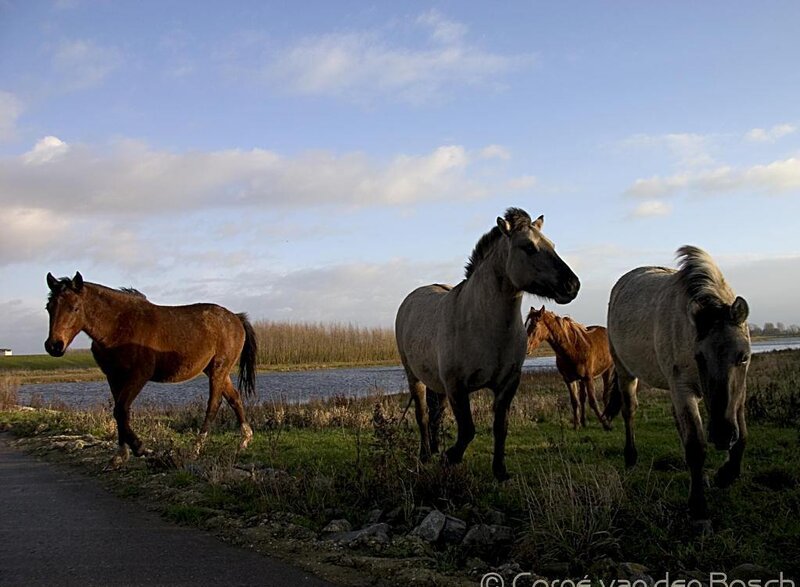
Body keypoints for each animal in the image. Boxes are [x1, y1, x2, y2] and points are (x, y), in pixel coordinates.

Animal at [44, 272, 258, 467]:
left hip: (218, 369)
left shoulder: (138, 375)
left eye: (75, 308)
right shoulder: (114, 377)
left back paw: (197, 448)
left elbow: (121, 410)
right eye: (49, 308)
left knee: (214, 404)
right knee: (234, 398)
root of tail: (236, 318)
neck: (119, 326)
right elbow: (120, 411)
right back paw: (244, 440)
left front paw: (139, 448)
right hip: (216, 371)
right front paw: (120, 456)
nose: (54, 345)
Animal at [395, 208, 580, 481]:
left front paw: (500, 471)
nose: (572, 285)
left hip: (437, 385)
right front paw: (450, 457)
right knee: (422, 416)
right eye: (528, 247)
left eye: (552, 245)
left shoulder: (507, 384)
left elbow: (500, 427)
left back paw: (436, 449)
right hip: (414, 377)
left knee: (435, 415)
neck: (485, 326)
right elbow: (468, 430)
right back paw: (427, 455)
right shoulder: (457, 387)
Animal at [602, 246, 751, 520]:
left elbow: (742, 435)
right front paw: (698, 507)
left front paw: (726, 474)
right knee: (629, 411)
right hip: (626, 372)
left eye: (743, 357)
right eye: (699, 356)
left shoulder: (739, 391)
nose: (722, 435)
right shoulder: (683, 389)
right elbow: (696, 446)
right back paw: (630, 457)